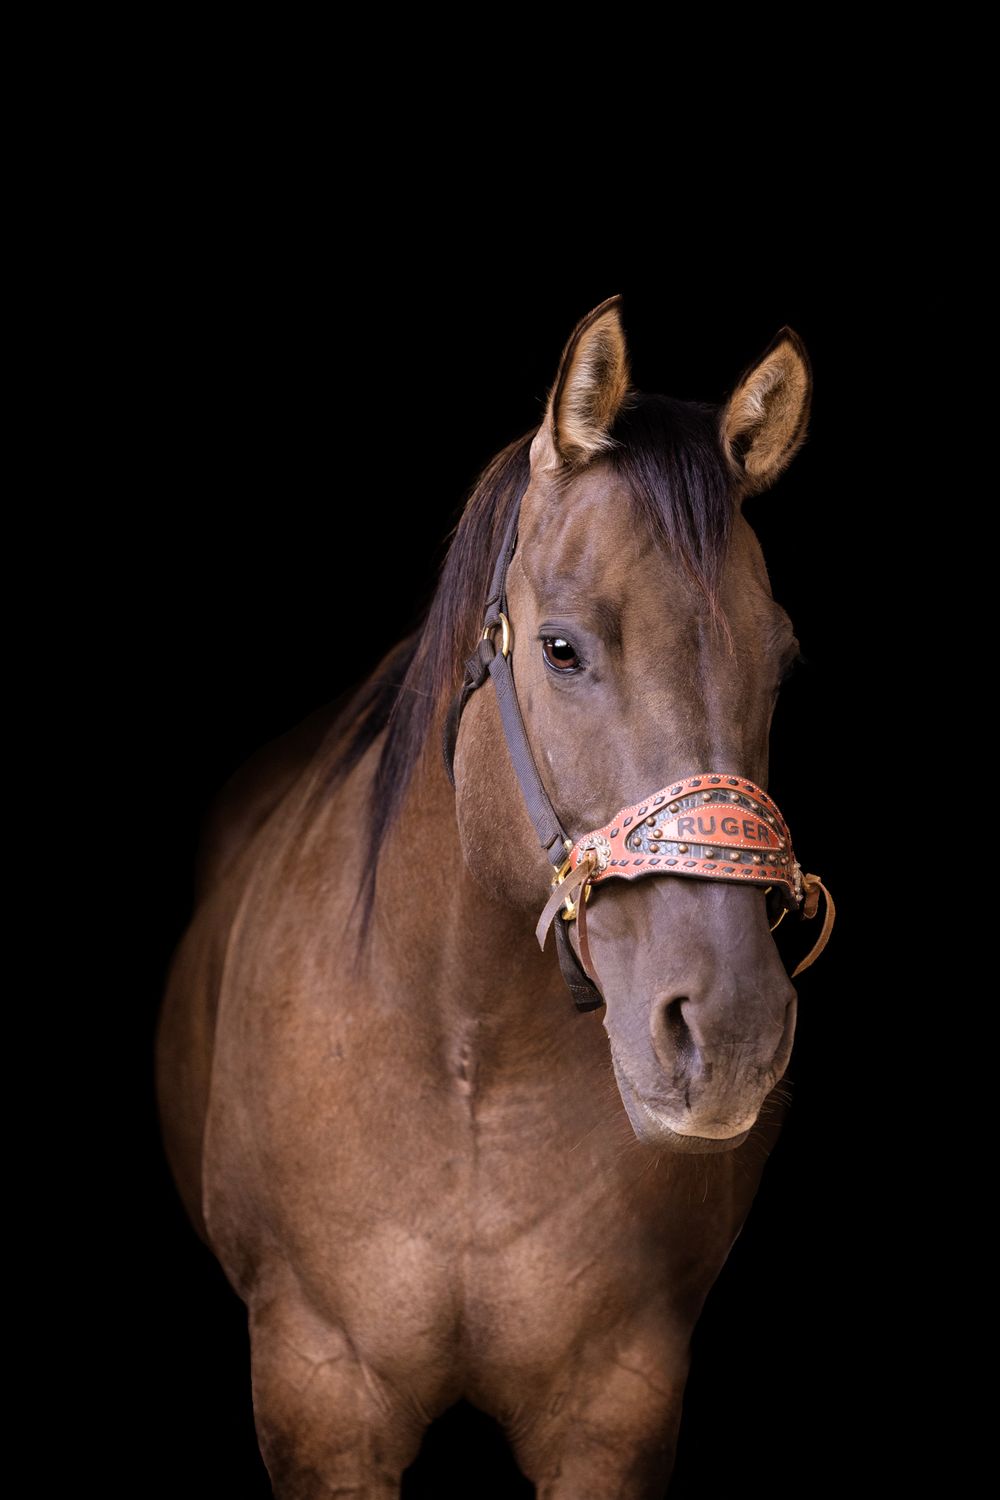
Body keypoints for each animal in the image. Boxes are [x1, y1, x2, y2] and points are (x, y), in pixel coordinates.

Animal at [156, 294, 829, 1497]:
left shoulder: (614, 1407)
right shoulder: (320, 1393)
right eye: (560, 649)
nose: (732, 1034)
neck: (470, 1053)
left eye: (783, 662)